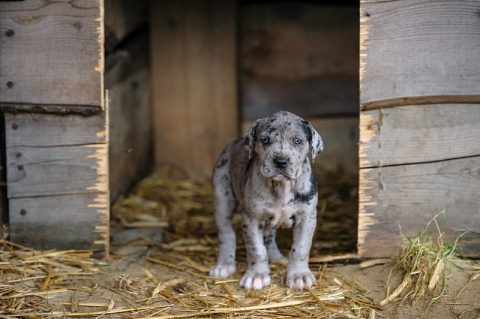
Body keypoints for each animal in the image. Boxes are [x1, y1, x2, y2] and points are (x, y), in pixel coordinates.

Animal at [209, 112, 322, 290]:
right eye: (265, 140)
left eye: (297, 140)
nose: (281, 161)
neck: (282, 187)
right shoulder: (251, 219)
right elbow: (256, 249)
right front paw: (257, 276)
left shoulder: (307, 217)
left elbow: (301, 248)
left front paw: (299, 275)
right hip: (222, 198)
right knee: (226, 233)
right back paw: (224, 265)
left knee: (269, 237)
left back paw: (276, 258)